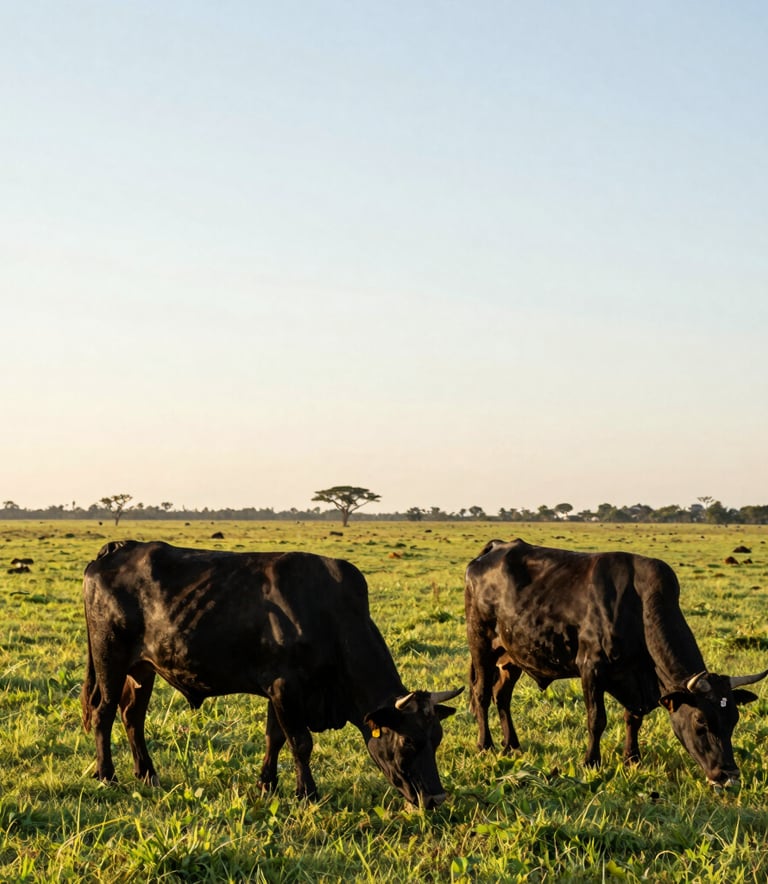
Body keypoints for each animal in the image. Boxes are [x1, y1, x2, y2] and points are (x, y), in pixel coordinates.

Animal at [82, 540, 462, 807]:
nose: (437, 799)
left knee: (132, 717)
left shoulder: (277, 692)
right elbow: (301, 742)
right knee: (103, 713)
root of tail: (117, 549)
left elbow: (274, 738)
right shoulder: (286, 688)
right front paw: (307, 793)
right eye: (409, 742)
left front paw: (267, 784)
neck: (330, 616)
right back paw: (107, 776)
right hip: (110, 660)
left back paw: (147, 774)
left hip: (142, 670)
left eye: (438, 738)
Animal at [465, 538, 768, 786]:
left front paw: (632, 758)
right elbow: (596, 719)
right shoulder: (591, 668)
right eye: (700, 722)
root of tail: (494, 548)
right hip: (481, 645)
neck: (638, 605)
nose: (728, 776)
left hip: (511, 657)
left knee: (501, 696)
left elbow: (633, 719)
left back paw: (511, 745)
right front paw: (591, 761)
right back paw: (485, 744)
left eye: (733, 719)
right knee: (481, 694)